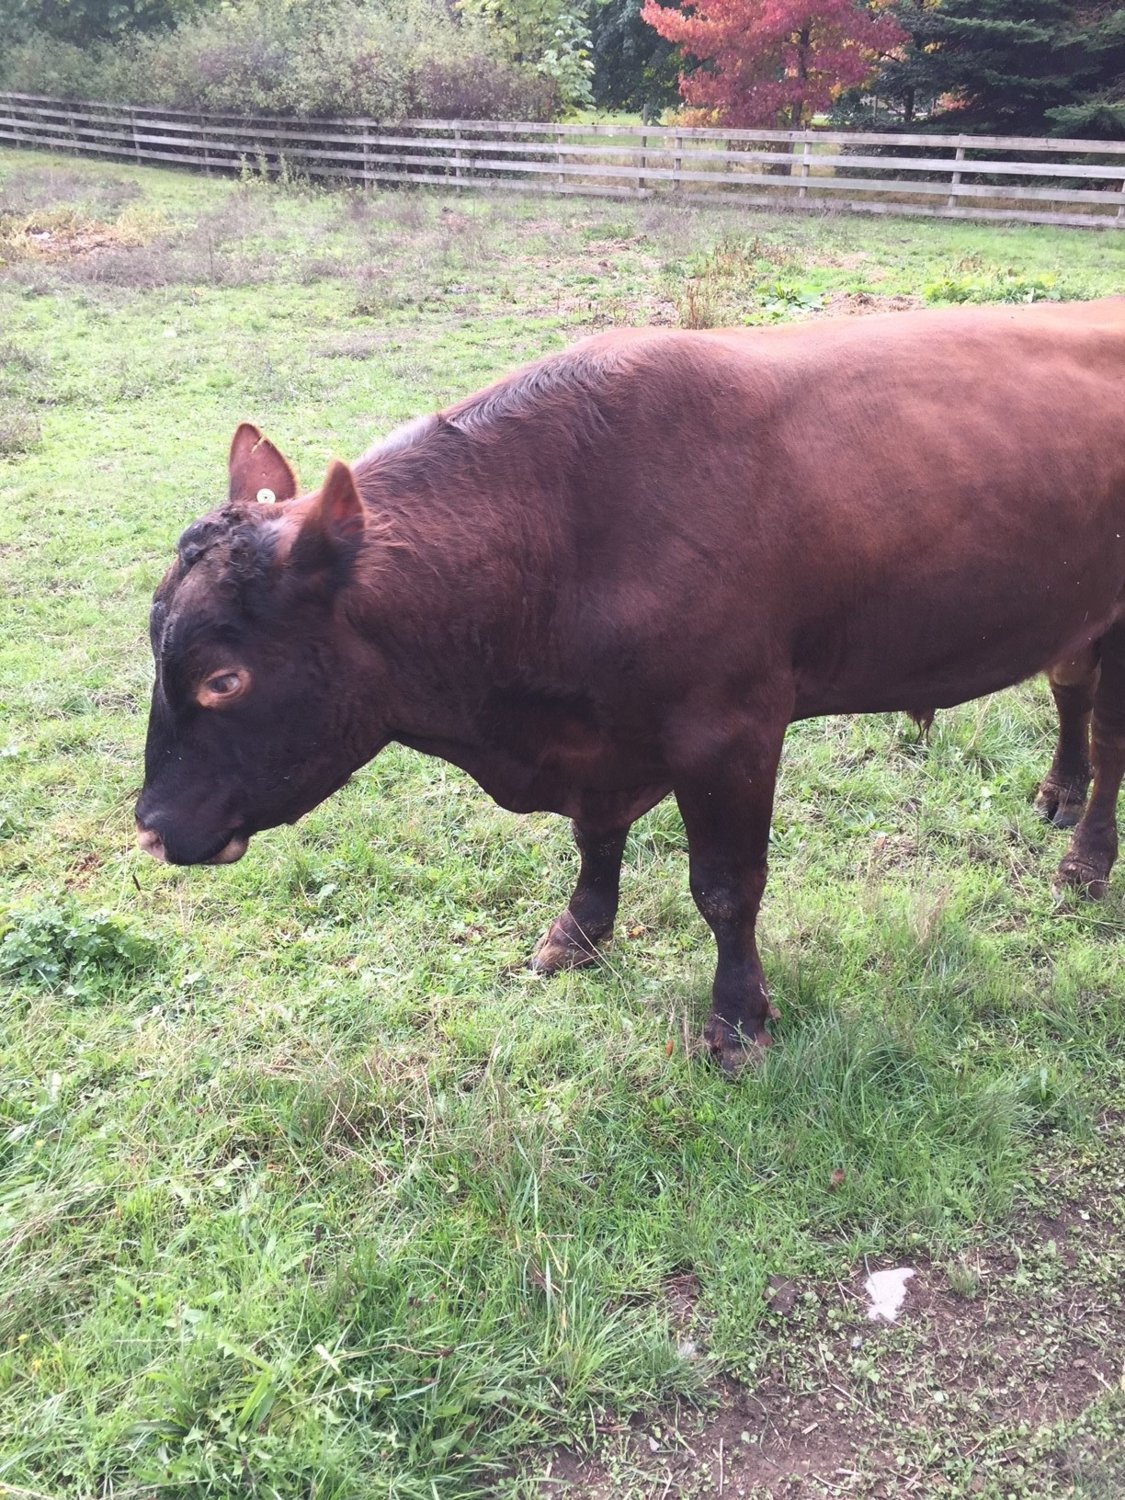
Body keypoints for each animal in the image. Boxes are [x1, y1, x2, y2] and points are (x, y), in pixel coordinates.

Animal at [136, 299, 1125, 1070]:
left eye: (224, 679)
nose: (149, 828)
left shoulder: (732, 729)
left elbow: (726, 886)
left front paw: (736, 1022)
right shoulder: (601, 737)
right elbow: (594, 835)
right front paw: (577, 931)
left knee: (1110, 735)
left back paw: (1083, 860)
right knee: (1068, 686)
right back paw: (1056, 789)